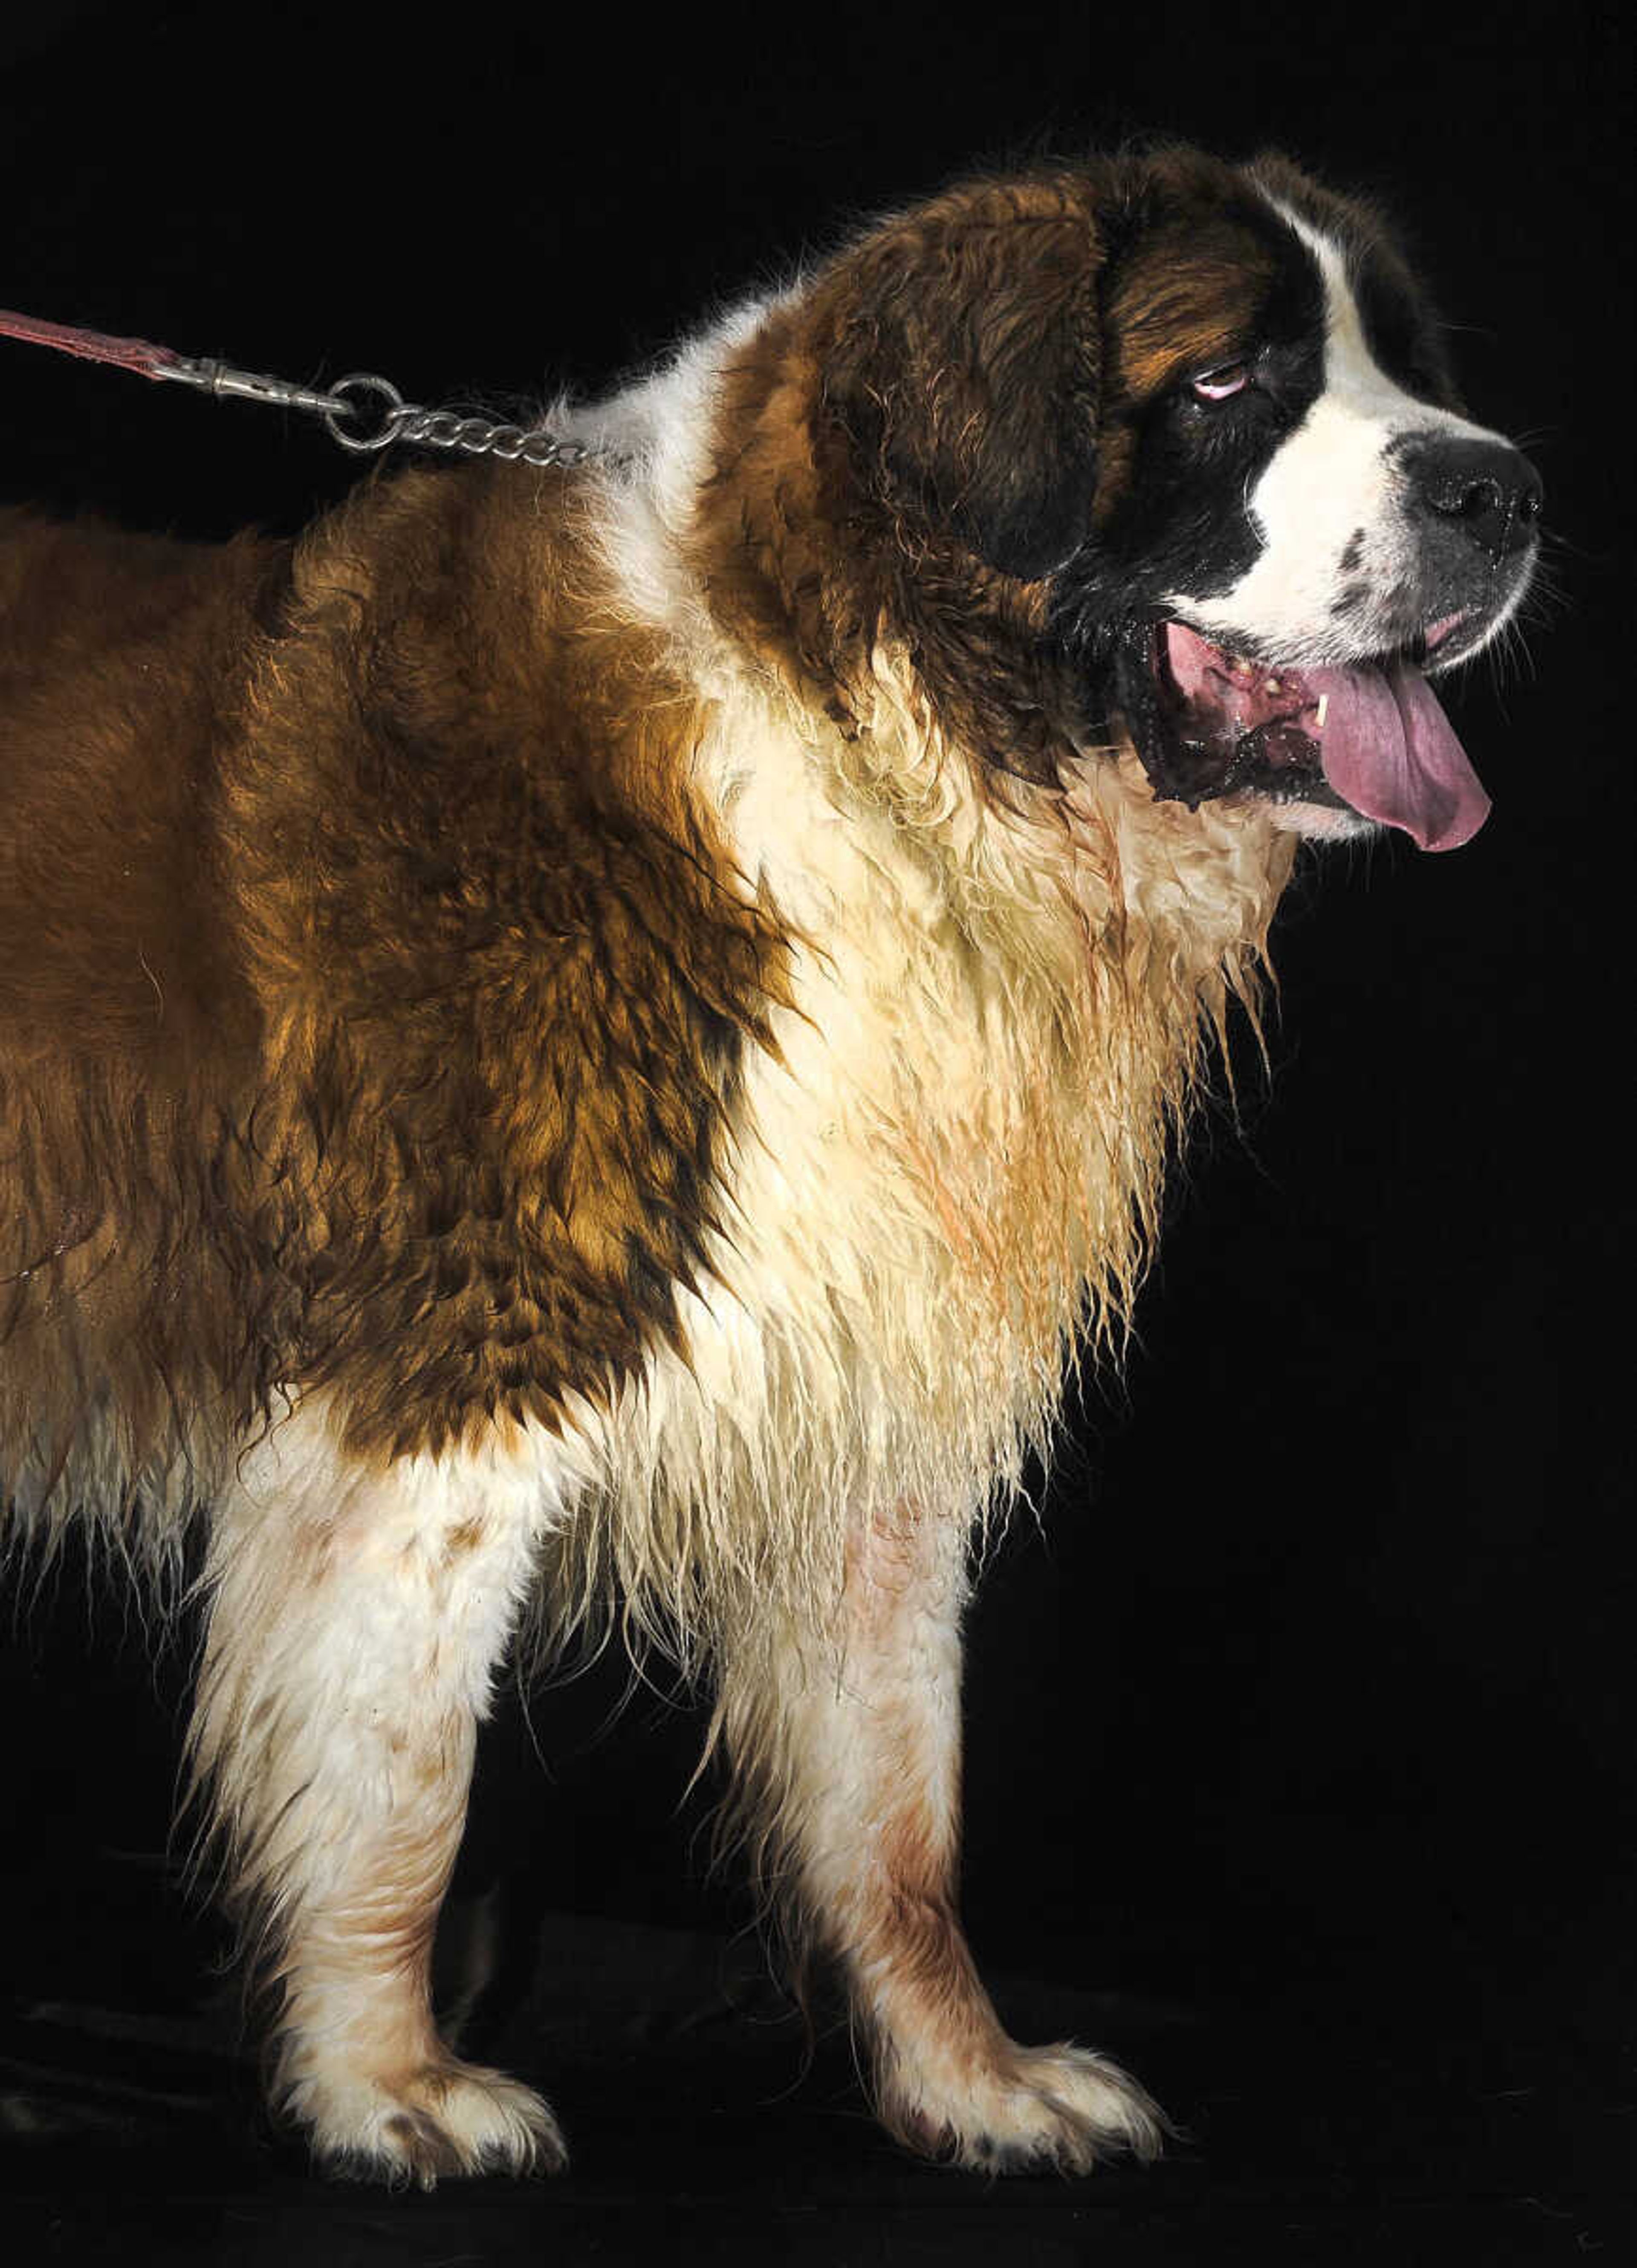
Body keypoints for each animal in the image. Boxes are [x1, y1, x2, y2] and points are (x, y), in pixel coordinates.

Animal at [0, 146, 1533, 2177]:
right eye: (1222, 381)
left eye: (1397, 359)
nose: (1503, 489)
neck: (874, 737)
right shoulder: (459, 1366)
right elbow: (403, 1781)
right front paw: (386, 2082)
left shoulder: (874, 1398)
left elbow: (896, 1810)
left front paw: (973, 2082)